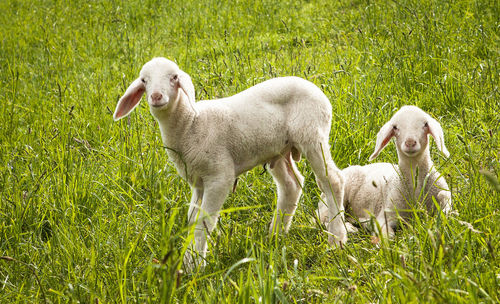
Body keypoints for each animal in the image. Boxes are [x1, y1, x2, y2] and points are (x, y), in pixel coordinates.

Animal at [114, 57, 348, 268]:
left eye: (174, 77)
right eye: (144, 80)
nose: (156, 96)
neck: (190, 125)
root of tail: (314, 87)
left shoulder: (219, 176)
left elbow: (204, 222)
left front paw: (195, 266)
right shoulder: (198, 182)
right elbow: (192, 220)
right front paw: (188, 261)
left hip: (312, 135)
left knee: (332, 180)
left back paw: (336, 240)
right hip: (278, 149)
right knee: (291, 185)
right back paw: (275, 235)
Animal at [318, 105, 452, 236]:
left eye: (425, 124)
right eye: (395, 127)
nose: (410, 142)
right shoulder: (386, 214)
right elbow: (387, 237)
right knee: (325, 219)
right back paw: (350, 228)